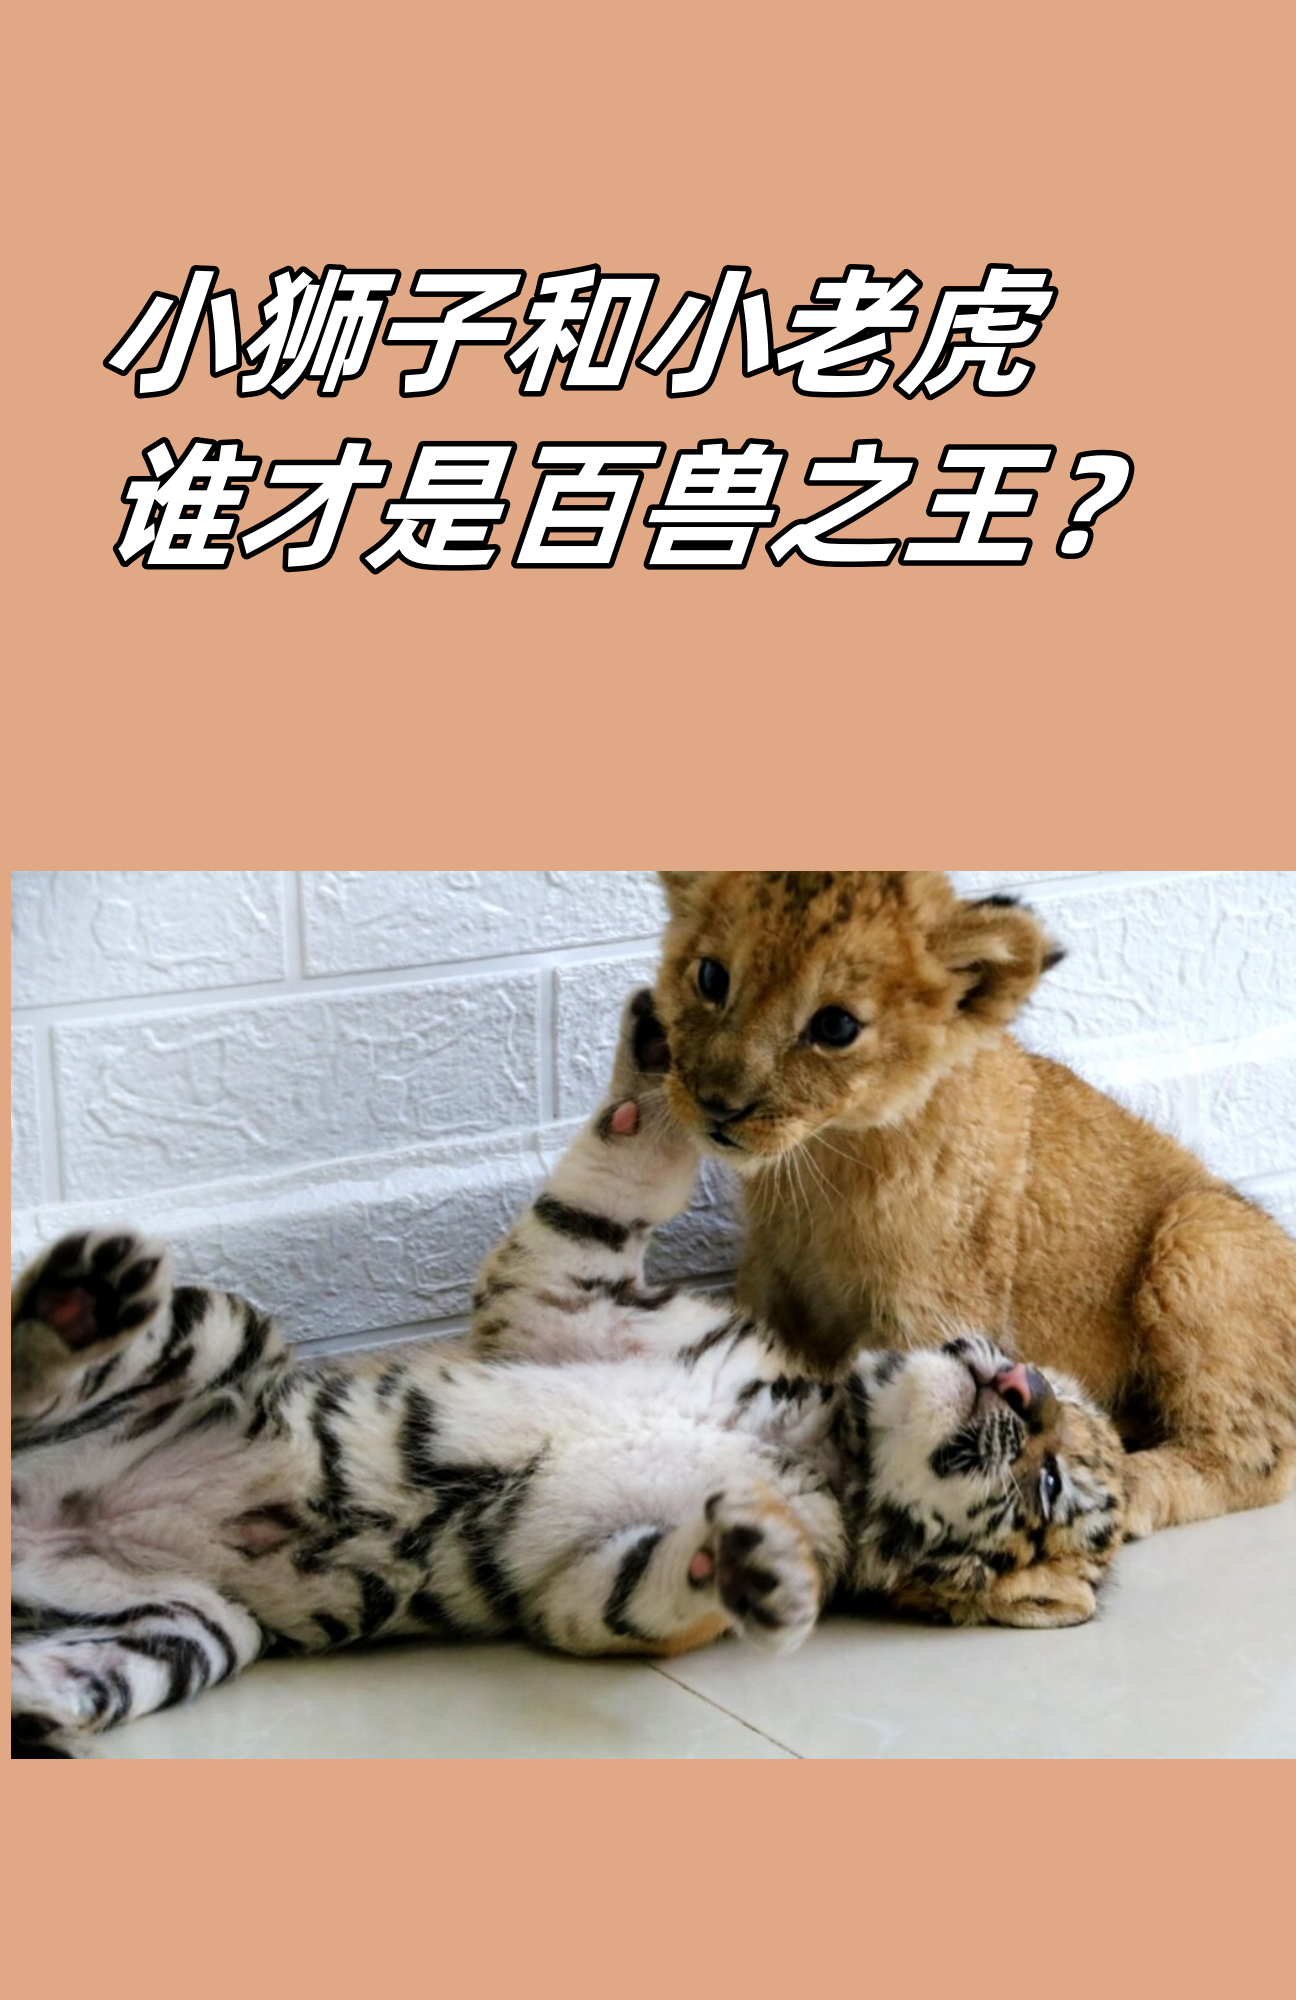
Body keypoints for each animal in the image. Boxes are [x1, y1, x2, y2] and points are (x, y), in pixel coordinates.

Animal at [11, 993, 1127, 1757]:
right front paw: (658, 1064)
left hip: (187, 1625)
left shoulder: (584, 1581)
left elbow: (648, 1586)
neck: (817, 1433)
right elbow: (612, 1188)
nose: (1024, 1386)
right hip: (232, 1338)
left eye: (1049, 1485)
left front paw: (751, 1565)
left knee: (72, 1662)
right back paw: (81, 1297)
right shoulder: (577, 1302)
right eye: (1057, 1411)